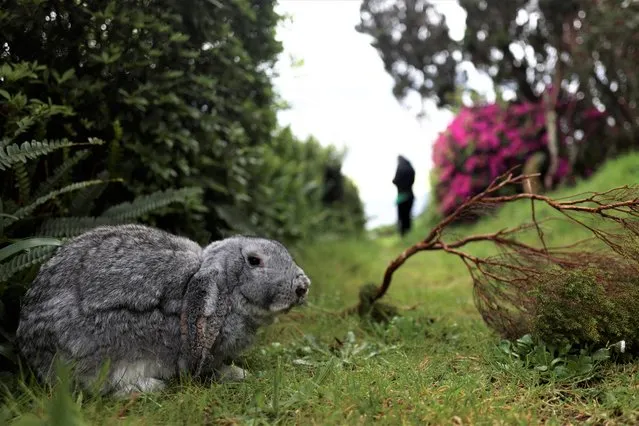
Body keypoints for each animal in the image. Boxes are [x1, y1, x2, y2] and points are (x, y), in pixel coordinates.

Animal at [16, 225, 312, 398]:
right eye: (253, 260)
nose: (302, 286)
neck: (227, 292)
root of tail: (31, 347)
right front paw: (234, 374)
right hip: (97, 354)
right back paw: (148, 387)